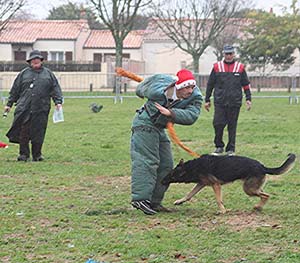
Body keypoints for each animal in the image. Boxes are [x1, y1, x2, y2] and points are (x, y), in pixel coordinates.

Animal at [162, 154, 296, 213]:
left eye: (171, 175)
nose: (161, 181)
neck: (194, 167)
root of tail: (262, 167)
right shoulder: (201, 184)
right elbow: (189, 194)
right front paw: (180, 201)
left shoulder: (215, 185)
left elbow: (218, 200)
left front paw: (222, 210)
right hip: (253, 188)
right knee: (264, 194)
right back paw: (258, 207)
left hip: (248, 189)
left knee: (267, 195)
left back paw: (257, 207)